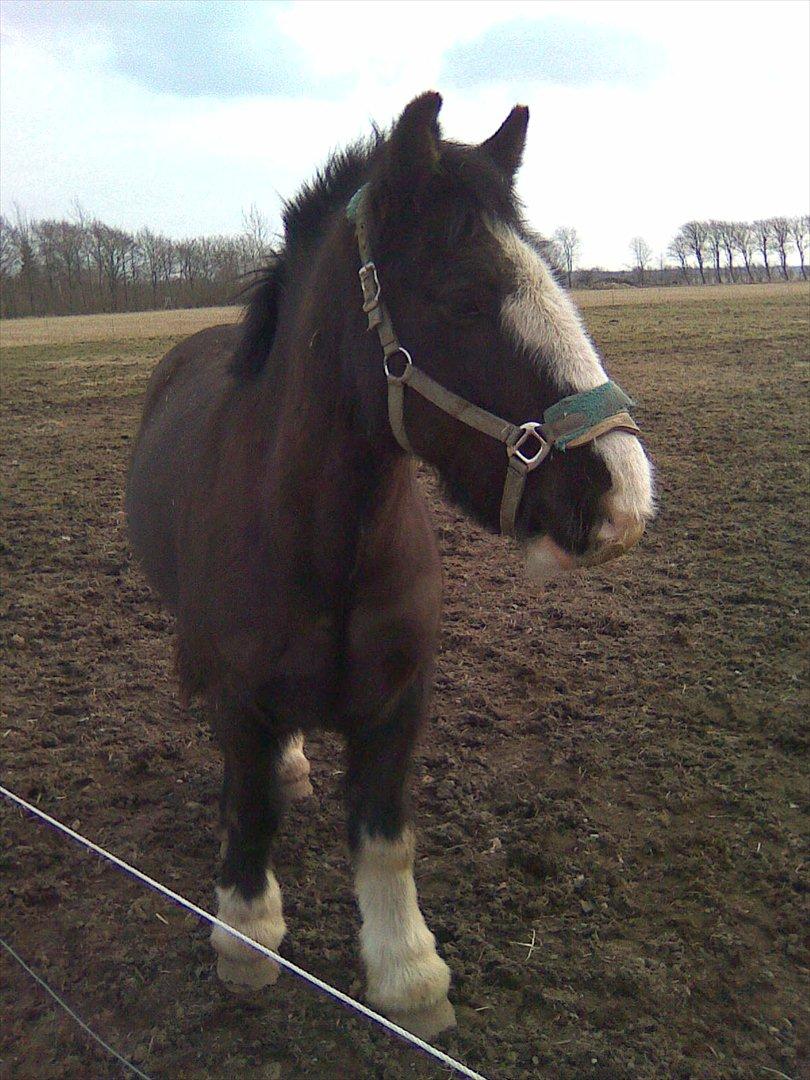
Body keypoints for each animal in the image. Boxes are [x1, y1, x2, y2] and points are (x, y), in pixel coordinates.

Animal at [128, 92, 660, 1036]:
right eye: (463, 298)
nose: (624, 495)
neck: (323, 545)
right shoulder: (240, 695)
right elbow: (249, 808)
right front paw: (246, 938)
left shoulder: (398, 697)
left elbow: (385, 836)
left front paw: (409, 975)